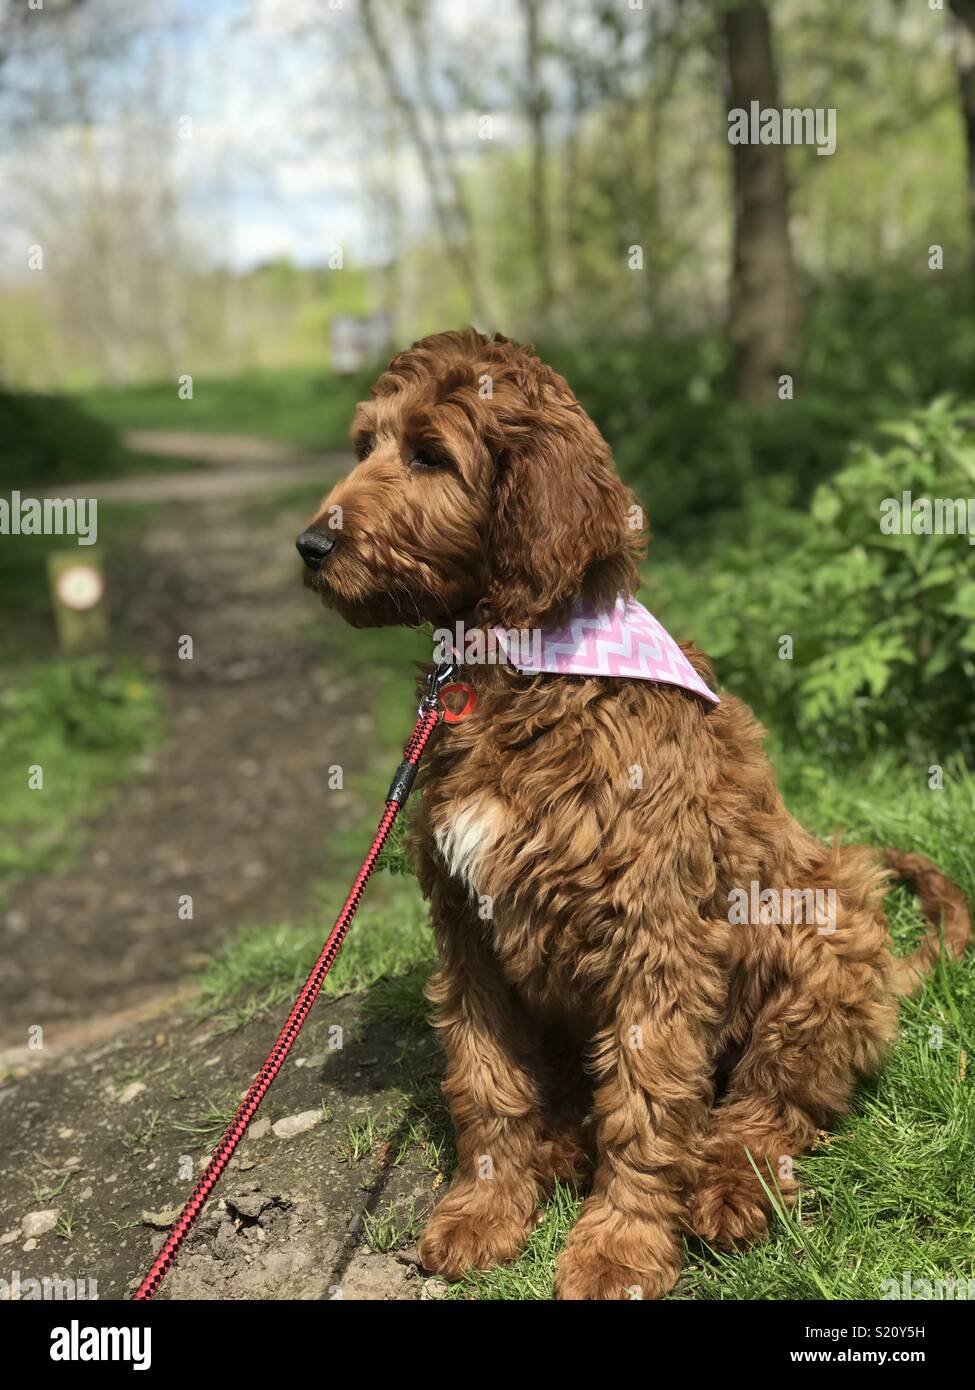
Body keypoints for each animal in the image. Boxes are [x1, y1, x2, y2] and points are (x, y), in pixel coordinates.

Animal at [300, 330, 968, 1295]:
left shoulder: (656, 937)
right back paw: (561, 1148)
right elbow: (485, 1078)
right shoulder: (467, 929)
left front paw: (618, 1246)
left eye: (429, 455)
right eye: (365, 445)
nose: (310, 544)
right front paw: (485, 1205)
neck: (523, 674)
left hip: (825, 927)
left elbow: (647, 1107)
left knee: (772, 1105)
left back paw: (727, 1183)